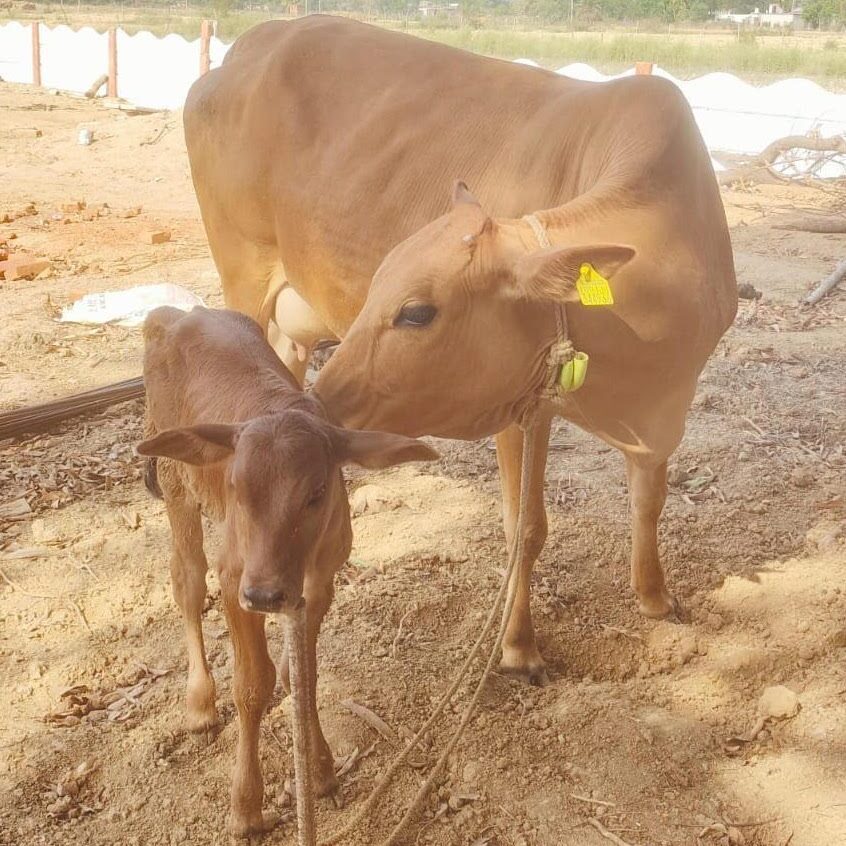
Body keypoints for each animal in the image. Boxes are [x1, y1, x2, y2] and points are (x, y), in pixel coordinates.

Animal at [137, 305, 436, 833]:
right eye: (235, 487)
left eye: (316, 493)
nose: (264, 596)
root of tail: (176, 313)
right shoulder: (235, 578)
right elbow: (251, 685)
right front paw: (246, 804)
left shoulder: (318, 583)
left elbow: (306, 675)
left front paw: (320, 769)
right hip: (176, 483)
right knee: (187, 581)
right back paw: (199, 703)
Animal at [183, 15, 737, 686]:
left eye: (417, 311)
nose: (323, 400)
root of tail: (248, 47)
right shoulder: (521, 408)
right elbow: (526, 527)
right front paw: (520, 646)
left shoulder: (661, 409)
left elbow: (648, 496)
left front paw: (655, 597)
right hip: (243, 280)